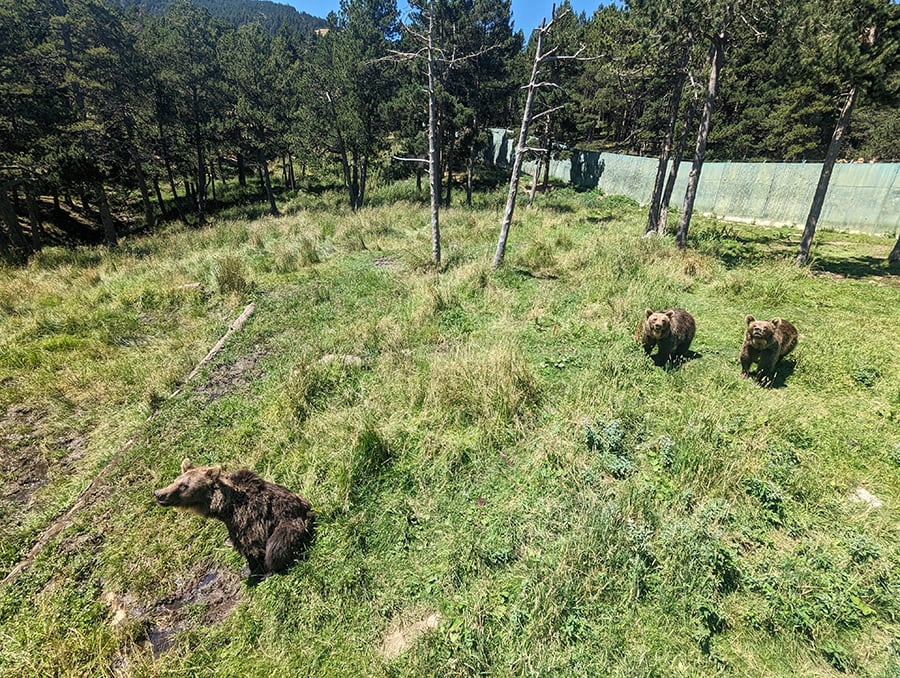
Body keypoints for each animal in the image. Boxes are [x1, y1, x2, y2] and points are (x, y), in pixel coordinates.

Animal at [154, 458, 314, 580]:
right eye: (175, 481)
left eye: (184, 486)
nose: (159, 494)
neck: (225, 508)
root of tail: (307, 512)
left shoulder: (247, 520)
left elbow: (251, 546)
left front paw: (251, 571)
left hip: (288, 522)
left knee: (276, 546)